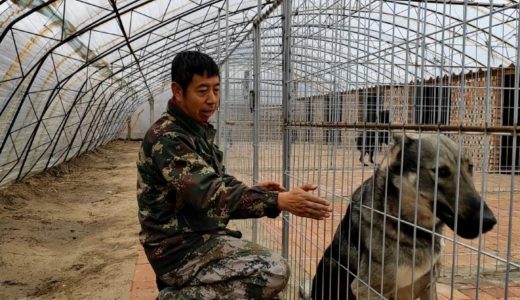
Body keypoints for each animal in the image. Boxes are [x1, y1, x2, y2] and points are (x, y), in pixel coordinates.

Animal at [310, 134, 498, 300]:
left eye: (470, 167)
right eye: (441, 172)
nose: (489, 221)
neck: (412, 226)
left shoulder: (429, 284)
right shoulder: (368, 289)